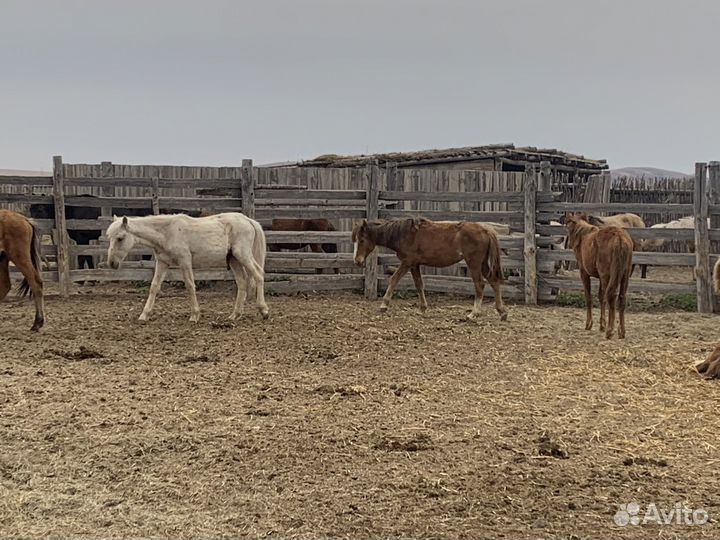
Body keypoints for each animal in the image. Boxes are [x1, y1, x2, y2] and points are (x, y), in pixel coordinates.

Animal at [106, 213, 269, 323]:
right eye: (109, 237)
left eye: (120, 238)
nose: (112, 263)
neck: (167, 232)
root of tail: (248, 220)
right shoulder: (162, 263)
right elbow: (154, 287)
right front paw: (144, 315)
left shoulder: (184, 261)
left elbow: (190, 286)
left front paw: (194, 316)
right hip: (234, 260)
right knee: (242, 282)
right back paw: (235, 315)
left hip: (243, 255)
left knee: (258, 275)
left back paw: (264, 310)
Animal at [352, 217, 507, 321]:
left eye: (362, 240)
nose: (357, 261)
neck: (405, 234)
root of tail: (486, 230)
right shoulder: (415, 265)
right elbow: (419, 285)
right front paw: (422, 309)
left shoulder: (407, 263)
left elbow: (393, 279)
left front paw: (384, 305)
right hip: (483, 264)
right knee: (494, 281)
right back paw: (502, 312)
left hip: (474, 263)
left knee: (480, 284)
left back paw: (473, 313)